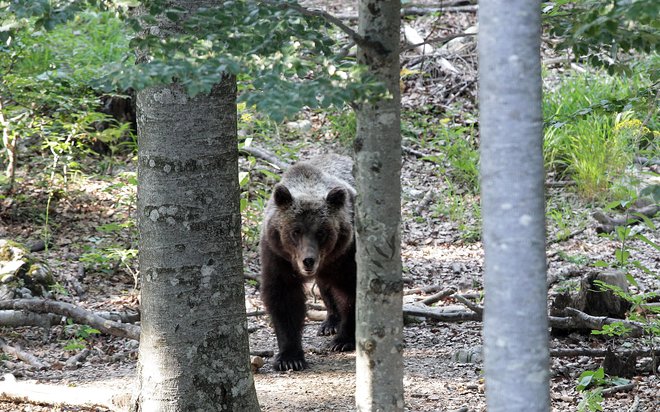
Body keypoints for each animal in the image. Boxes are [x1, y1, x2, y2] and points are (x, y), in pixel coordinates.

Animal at [260, 153, 358, 372]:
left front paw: (344, 340)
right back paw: (330, 322)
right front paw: (290, 357)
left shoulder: (346, 254)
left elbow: (351, 290)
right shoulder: (278, 257)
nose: (308, 261)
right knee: (325, 288)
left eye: (321, 232)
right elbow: (284, 298)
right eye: (295, 231)